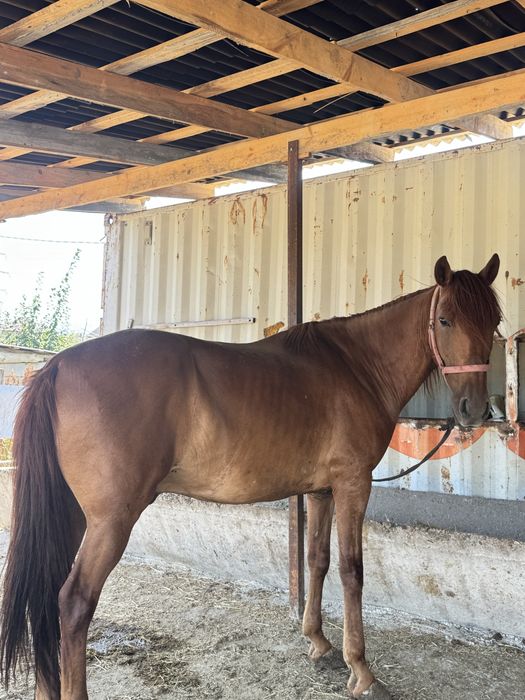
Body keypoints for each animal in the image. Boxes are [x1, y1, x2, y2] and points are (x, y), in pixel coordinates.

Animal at [0, 254, 501, 699]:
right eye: (445, 320)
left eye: (494, 320)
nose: (474, 410)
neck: (357, 367)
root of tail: (58, 366)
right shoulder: (352, 485)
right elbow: (351, 570)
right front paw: (361, 671)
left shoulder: (321, 492)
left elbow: (317, 560)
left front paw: (319, 644)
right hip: (110, 521)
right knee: (73, 602)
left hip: (71, 516)